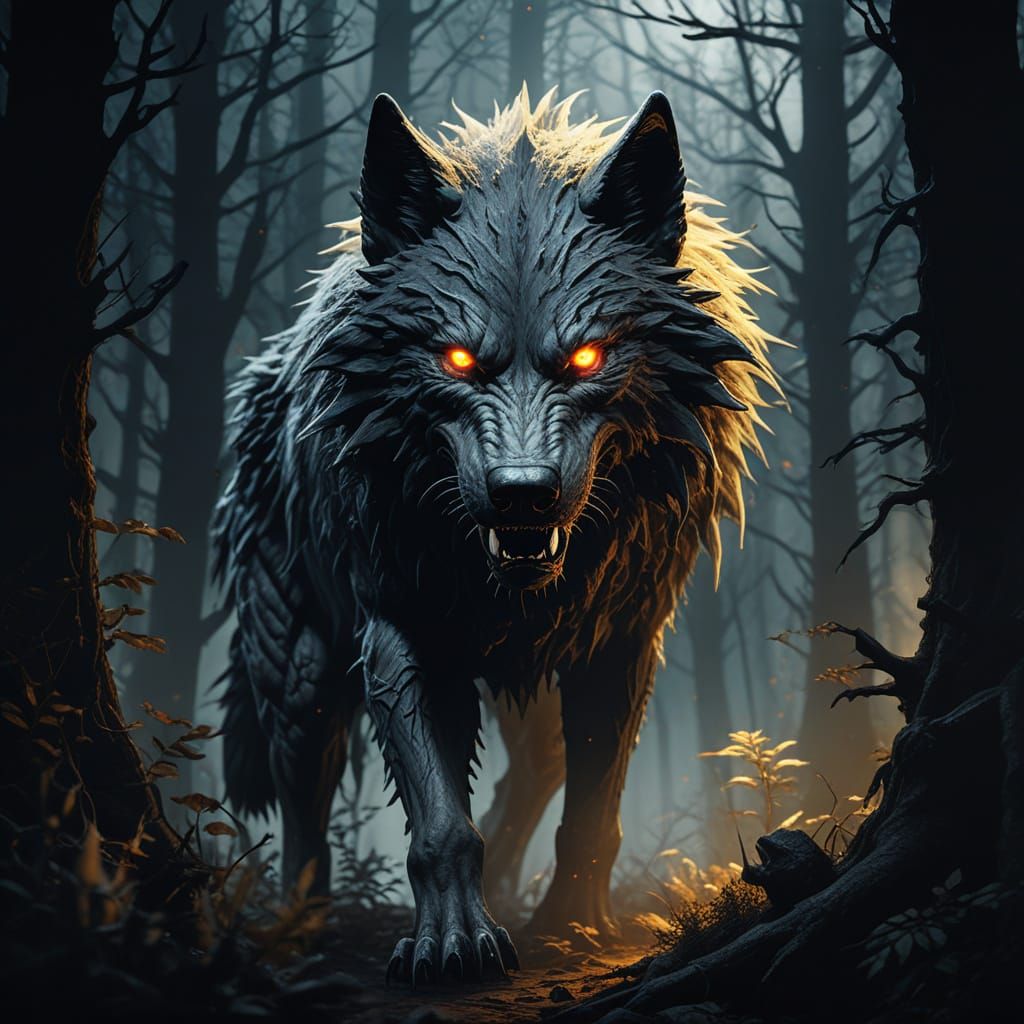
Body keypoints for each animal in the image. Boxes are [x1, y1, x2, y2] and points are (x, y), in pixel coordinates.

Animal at [213, 88, 778, 984]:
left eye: (585, 359)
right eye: (455, 361)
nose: (523, 494)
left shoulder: (618, 639)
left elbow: (594, 809)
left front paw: (573, 925)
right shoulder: (401, 630)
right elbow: (443, 825)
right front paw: (454, 944)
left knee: (534, 771)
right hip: (298, 659)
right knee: (303, 783)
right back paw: (298, 929)